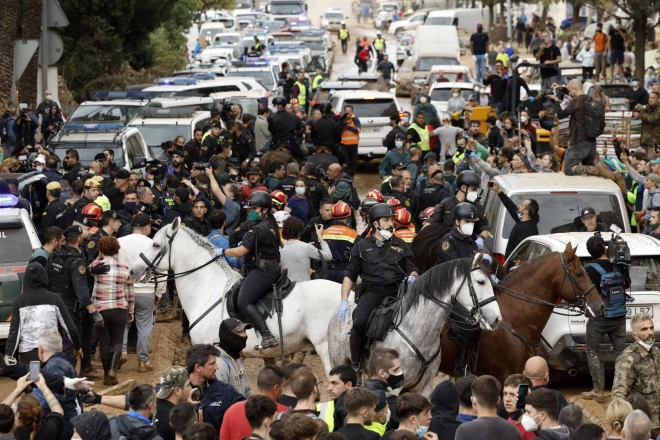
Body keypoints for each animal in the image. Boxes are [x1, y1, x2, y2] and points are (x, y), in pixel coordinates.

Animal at [324, 254, 500, 396]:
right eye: (481, 282)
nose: (497, 319)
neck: (417, 332)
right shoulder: (394, 388)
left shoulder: (424, 388)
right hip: (339, 363)